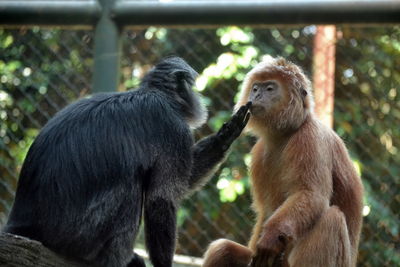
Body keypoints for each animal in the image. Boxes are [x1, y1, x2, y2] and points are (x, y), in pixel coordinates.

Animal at [3, 57, 250, 267]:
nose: (198, 98)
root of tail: (23, 224)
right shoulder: (174, 130)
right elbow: (161, 198)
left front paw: (224, 138)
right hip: (78, 233)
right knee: (132, 185)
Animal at [203, 57, 362, 267]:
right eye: (255, 88)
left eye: (270, 88)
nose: (257, 94)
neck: (285, 134)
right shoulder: (259, 153)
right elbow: (265, 210)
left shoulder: (310, 138)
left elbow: (310, 194)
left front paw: (271, 237)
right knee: (222, 249)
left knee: (332, 218)